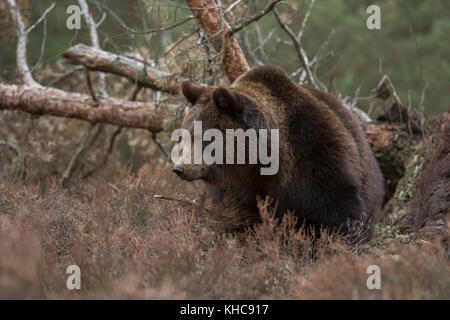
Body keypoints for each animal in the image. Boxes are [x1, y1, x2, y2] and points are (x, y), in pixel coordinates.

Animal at [172, 66, 384, 244]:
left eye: (204, 137)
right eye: (184, 135)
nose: (179, 168)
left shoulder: (315, 157)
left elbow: (339, 212)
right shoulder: (236, 188)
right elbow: (237, 217)